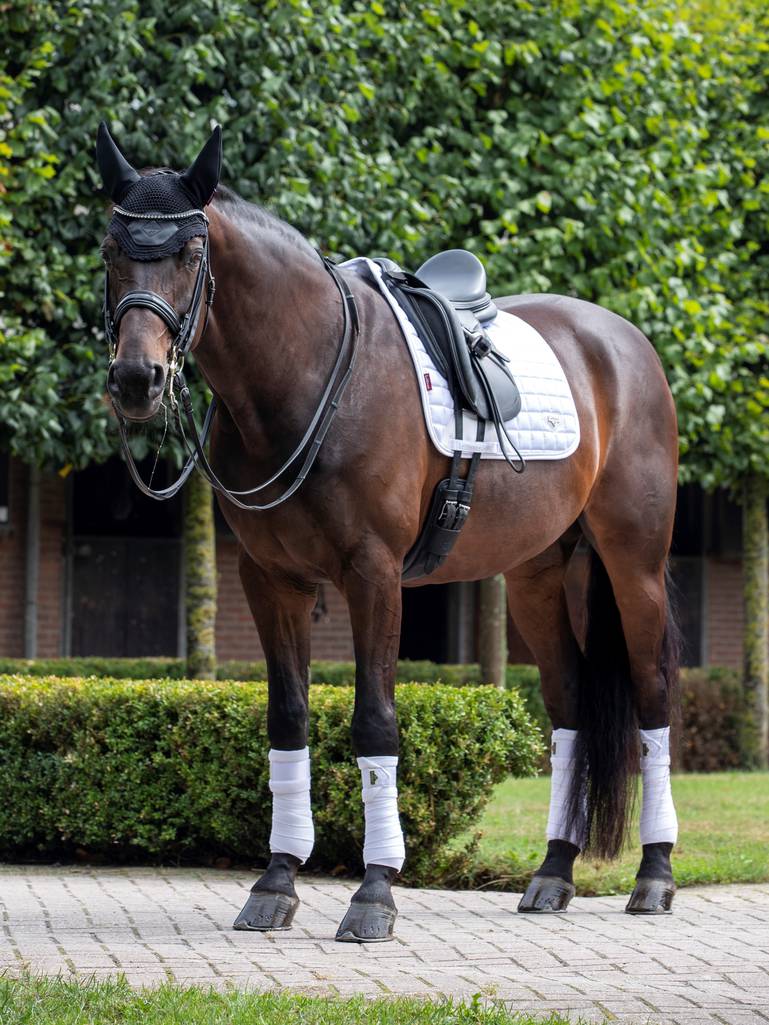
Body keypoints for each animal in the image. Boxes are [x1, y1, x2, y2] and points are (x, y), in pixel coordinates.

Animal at [94, 124, 680, 938]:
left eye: (189, 251)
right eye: (112, 248)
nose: (136, 380)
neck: (307, 375)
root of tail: (623, 342)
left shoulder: (372, 575)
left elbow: (375, 723)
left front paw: (373, 890)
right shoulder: (269, 580)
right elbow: (287, 719)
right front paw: (276, 881)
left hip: (634, 563)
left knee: (653, 695)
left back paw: (654, 875)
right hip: (536, 576)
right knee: (567, 706)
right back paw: (553, 872)